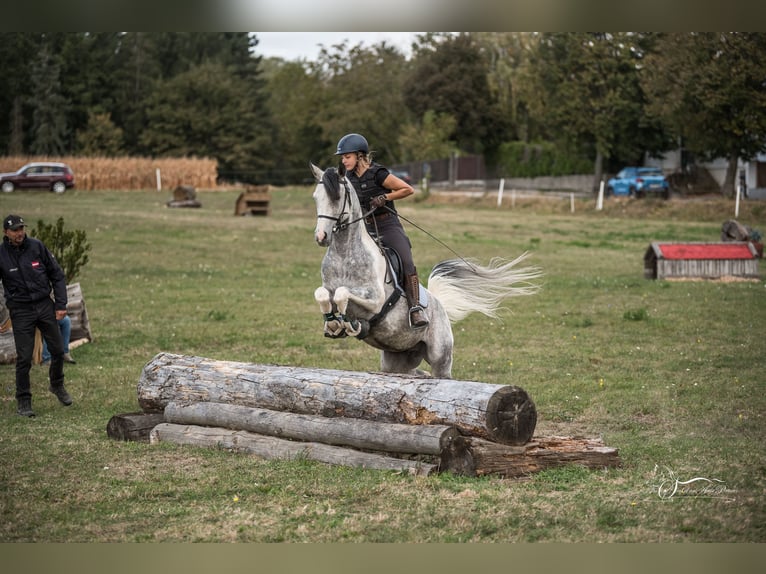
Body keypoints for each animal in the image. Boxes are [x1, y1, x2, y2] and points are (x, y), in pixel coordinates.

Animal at [310, 163, 541, 379]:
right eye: (315, 197)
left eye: (337, 197)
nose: (321, 237)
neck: (345, 254)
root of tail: (441, 306)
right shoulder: (329, 289)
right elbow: (323, 294)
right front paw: (333, 324)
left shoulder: (375, 301)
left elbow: (342, 293)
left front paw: (349, 324)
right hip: (397, 359)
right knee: (416, 373)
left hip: (440, 357)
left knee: (440, 375)